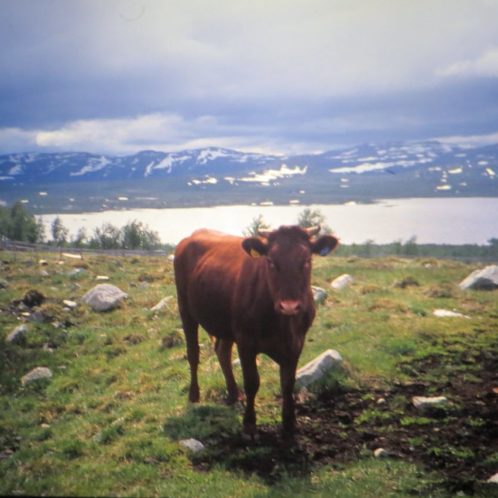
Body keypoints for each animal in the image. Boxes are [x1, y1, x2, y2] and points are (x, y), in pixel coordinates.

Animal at [174, 226, 338, 436]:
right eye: (271, 261)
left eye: (307, 260)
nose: (289, 306)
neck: (282, 324)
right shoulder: (246, 342)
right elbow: (252, 382)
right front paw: (249, 423)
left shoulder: (296, 343)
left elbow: (288, 383)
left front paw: (289, 423)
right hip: (185, 309)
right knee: (193, 353)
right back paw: (194, 396)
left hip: (226, 323)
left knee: (222, 352)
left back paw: (234, 394)